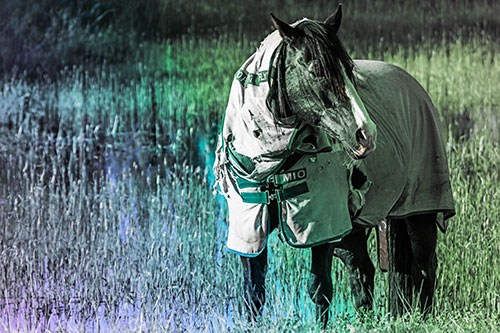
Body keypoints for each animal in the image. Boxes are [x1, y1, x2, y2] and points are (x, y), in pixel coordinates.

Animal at [213, 4, 456, 326]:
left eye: (350, 70)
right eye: (317, 70)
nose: (366, 134)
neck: (273, 161)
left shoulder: (322, 226)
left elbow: (319, 288)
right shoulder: (251, 227)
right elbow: (253, 292)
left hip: (419, 212)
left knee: (425, 267)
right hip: (353, 229)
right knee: (362, 271)